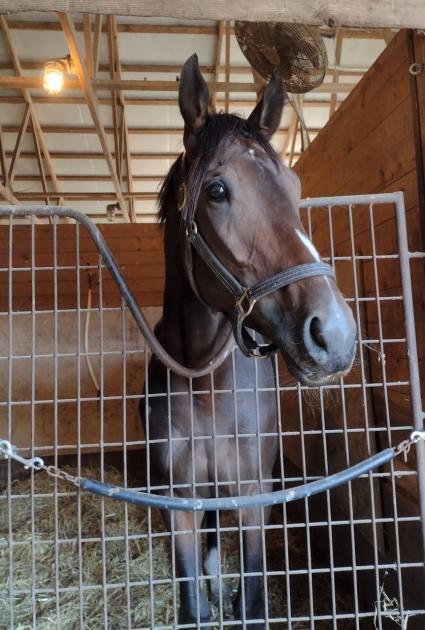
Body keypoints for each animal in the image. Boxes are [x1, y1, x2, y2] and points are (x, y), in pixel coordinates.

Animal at [141, 55, 356, 630]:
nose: (335, 334)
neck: (205, 379)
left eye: (295, 187)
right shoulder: (180, 500)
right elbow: (191, 604)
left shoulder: (254, 493)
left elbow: (253, 600)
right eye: (216, 190)